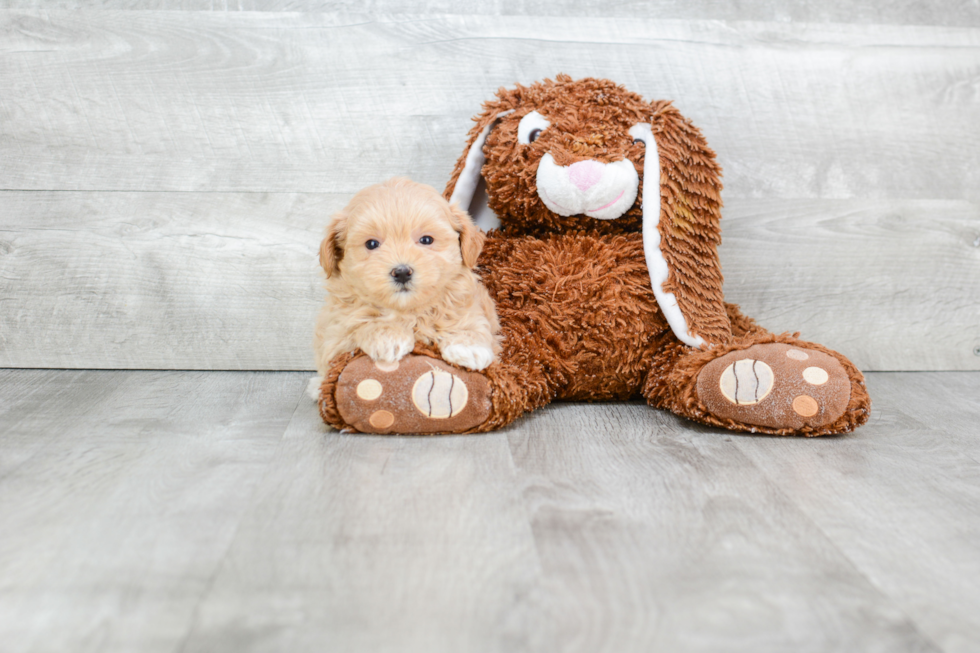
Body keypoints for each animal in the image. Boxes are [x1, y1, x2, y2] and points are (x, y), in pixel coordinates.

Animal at [310, 176, 502, 398]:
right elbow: (360, 320)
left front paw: (468, 346)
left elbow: (467, 318)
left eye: (426, 240)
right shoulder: (336, 330)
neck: (408, 311)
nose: (401, 272)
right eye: (371, 244)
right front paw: (388, 337)